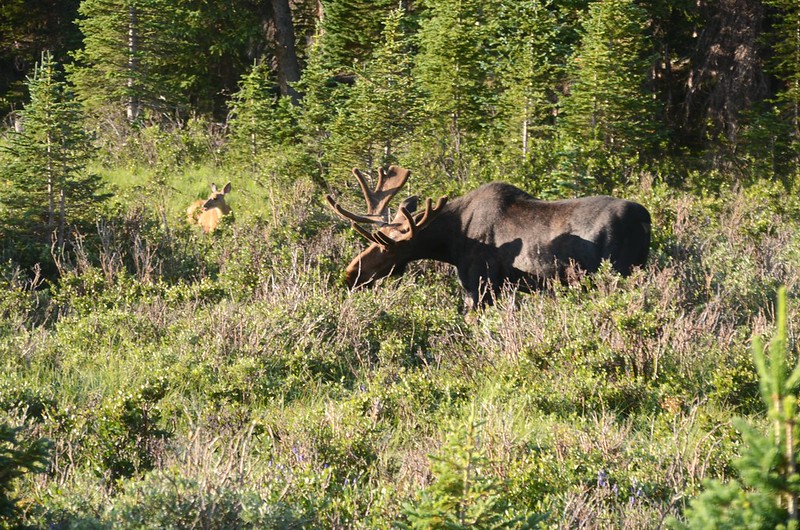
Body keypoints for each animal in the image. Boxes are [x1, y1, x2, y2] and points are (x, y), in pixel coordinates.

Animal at [328, 165, 652, 306]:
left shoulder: (479, 283)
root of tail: (646, 220)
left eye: (386, 247)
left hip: (616, 275)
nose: (351, 273)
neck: (449, 243)